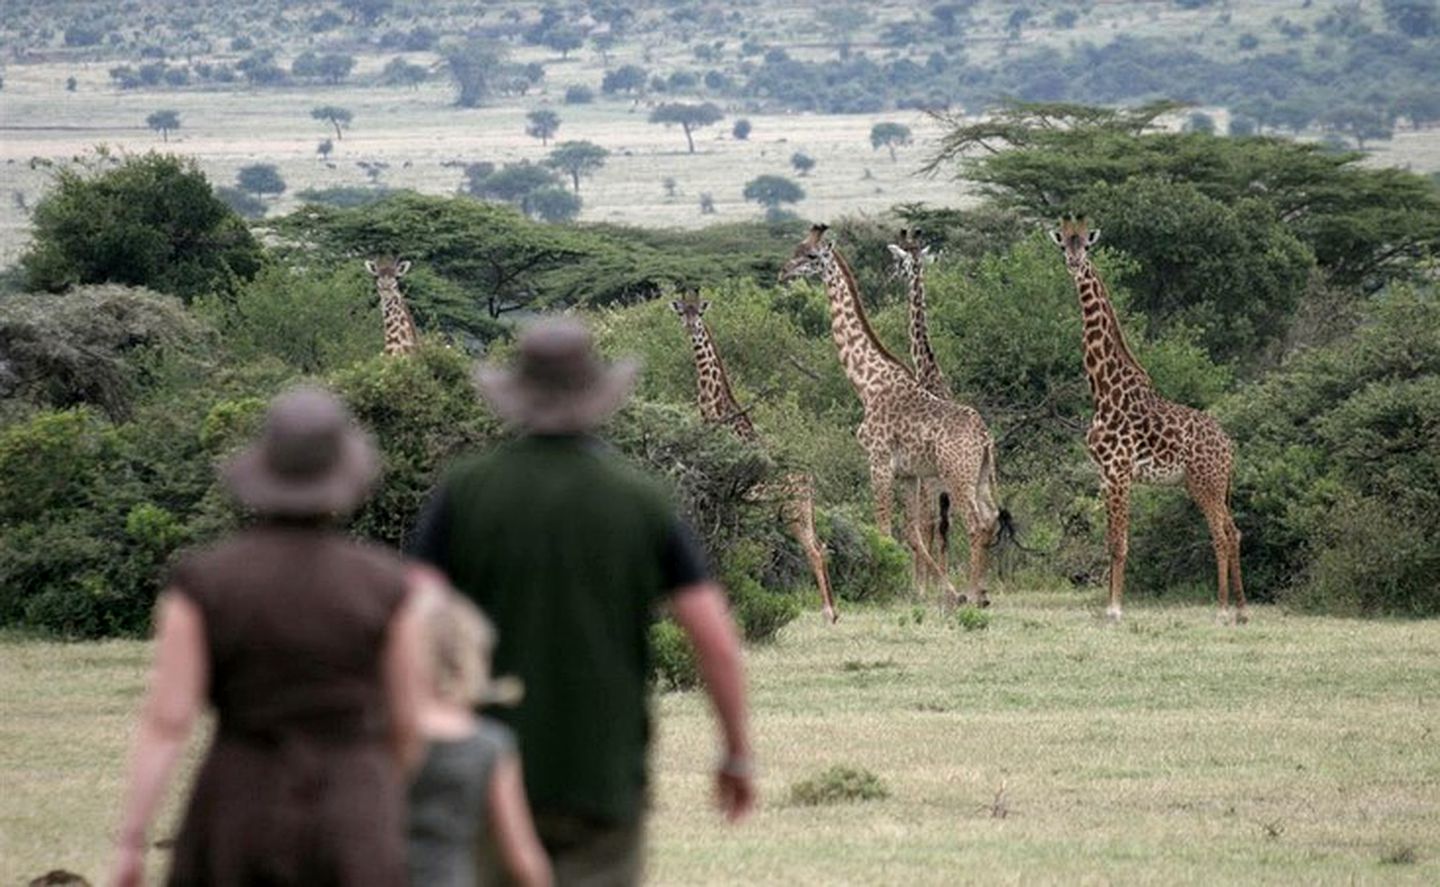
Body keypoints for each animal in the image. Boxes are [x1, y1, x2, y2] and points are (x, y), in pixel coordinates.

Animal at [668, 296, 840, 624]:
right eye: (682, 312)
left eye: (699, 313)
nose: (691, 327)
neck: (718, 413)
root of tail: (808, 478)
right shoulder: (722, 495)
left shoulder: (727, 493)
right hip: (798, 511)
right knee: (821, 545)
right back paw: (835, 611)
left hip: (794, 510)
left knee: (813, 550)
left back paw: (827, 612)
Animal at [777, 224, 1002, 607]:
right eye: (796, 247)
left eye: (811, 255)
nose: (782, 272)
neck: (867, 382)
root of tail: (985, 438)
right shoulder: (909, 474)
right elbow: (912, 531)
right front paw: (926, 590)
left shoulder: (879, 461)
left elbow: (883, 529)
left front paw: (887, 587)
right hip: (981, 476)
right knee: (989, 519)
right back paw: (980, 593)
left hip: (957, 476)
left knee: (974, 523)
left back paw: (974, 594)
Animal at [1054, 218, 1244, 624]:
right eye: (1064, 245)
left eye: (1086, 246)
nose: (1074, 264)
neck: (1103, 390)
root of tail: (1229, 447)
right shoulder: (1104, 474)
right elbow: (1111, 541)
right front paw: (1109, 605)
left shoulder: (1119, 470)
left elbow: (1119, 543)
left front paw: (1114, 609)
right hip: (1212, 484)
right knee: (1234, 531)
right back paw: (1241, 610)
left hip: (1205, 482)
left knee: (1221, 535)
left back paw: (1221, 611)